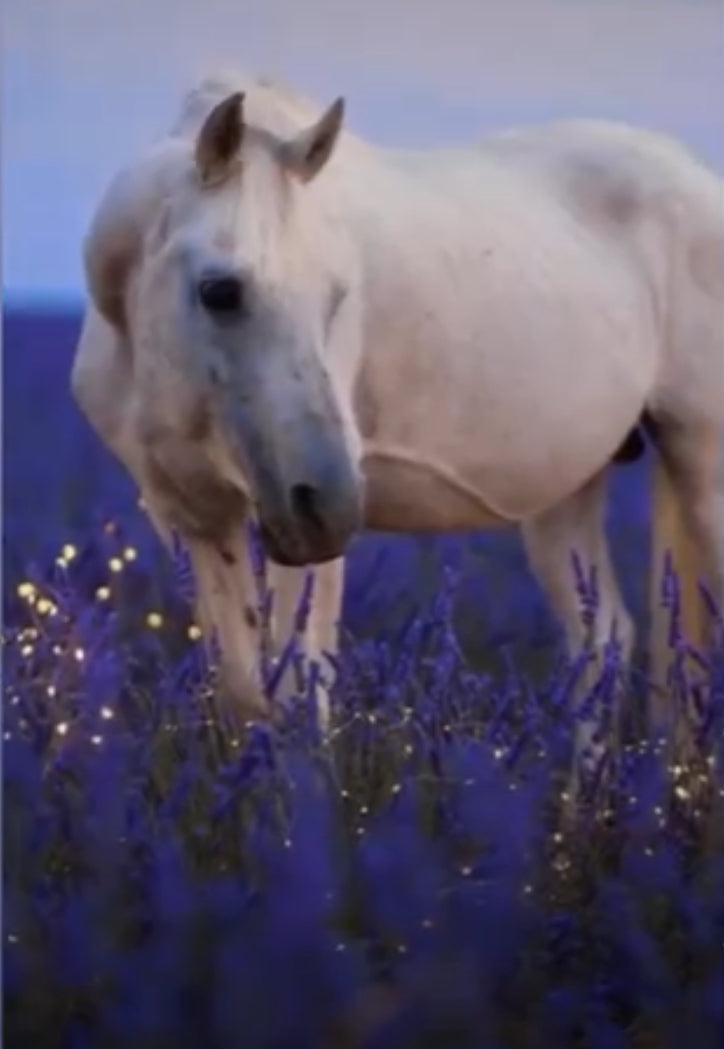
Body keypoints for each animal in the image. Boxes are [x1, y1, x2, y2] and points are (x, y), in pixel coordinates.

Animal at [71, 70, 723, 790]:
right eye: (221, 291)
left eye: (337, 296)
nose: (327, 506)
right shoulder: (189, 513)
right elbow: (242, 690)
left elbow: (299, 691)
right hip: (564, 489)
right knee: (600, 640)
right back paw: (589, 806)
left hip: (703, 466)